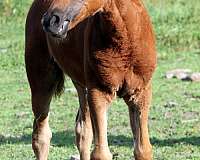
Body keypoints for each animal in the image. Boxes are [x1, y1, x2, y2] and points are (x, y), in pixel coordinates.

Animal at [24, 0, 156, 159]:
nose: (50, 21)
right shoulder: (98, 92)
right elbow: (101, 153)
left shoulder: (141, 93)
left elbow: (143, 150)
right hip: (42, 81)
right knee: (41, 135)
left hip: (81, 84)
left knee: (82, 130)